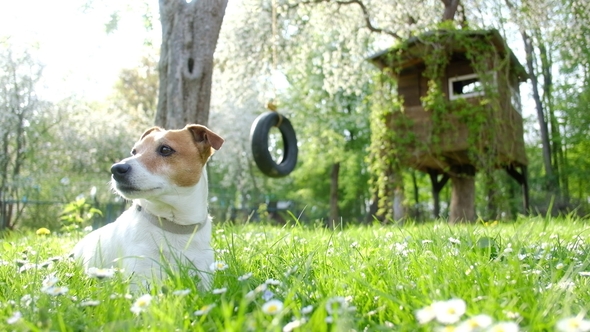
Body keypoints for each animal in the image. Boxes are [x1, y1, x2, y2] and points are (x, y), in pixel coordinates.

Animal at [71, 123, 224, 290]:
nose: (116, 169)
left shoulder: (204, 274)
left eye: (165, 149)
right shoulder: (141, 277)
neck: (174, 226)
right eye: (134, 151)